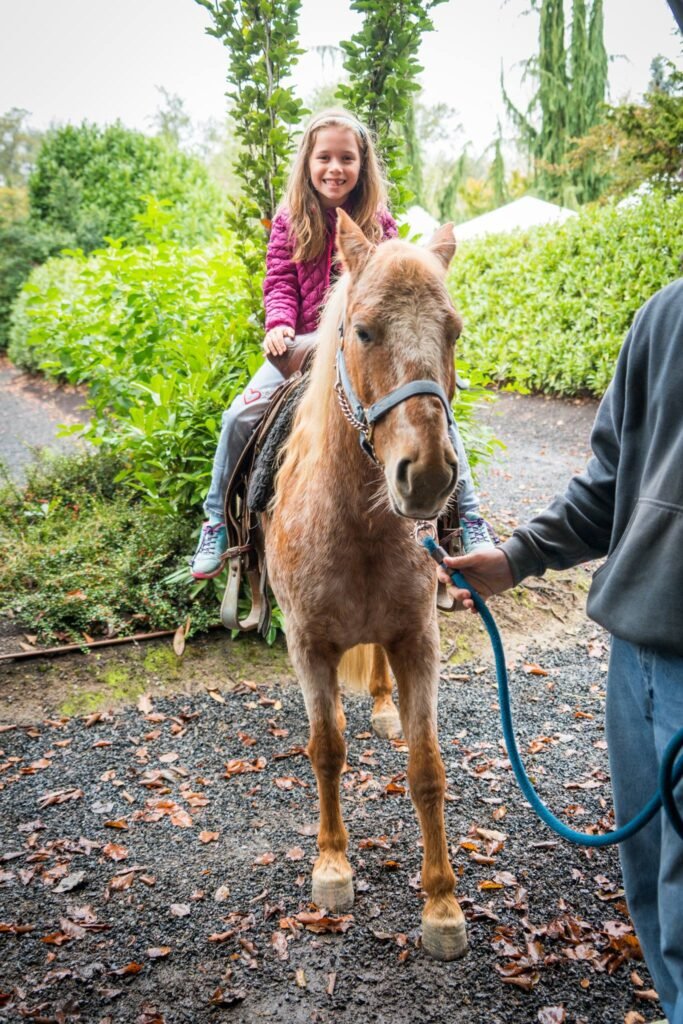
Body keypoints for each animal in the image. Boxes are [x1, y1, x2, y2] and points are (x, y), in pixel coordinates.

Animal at [263, 209, 466, 960]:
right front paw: (331, 866)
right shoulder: (308, 646)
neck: (354, 521)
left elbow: (427, 768)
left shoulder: (417, 640)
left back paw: (381, 706)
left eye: (452, 331)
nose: (428, 475)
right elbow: (326, 751)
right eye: (364, 330)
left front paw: (441, 904)